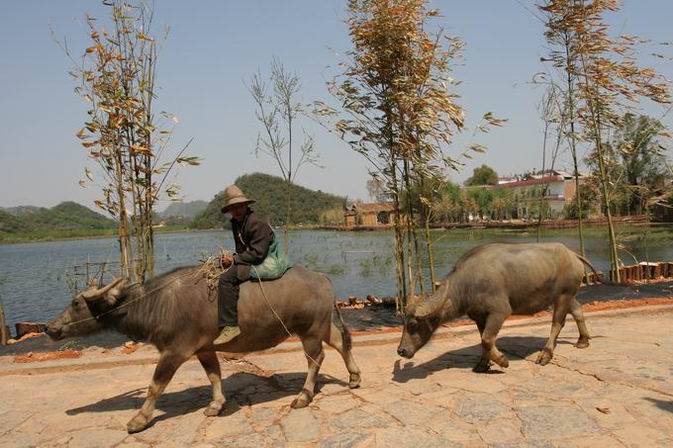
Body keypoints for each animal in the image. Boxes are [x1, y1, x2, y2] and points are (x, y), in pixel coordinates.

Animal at [46, 266, 362, 434]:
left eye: (76, 303)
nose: (50, 328)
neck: (157, 304)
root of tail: (322, 278)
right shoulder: (204, 349)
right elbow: (214, 375)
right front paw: (216, 404)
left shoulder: (175, 351)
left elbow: (155, 386)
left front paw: (139, 420)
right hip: (320, 326)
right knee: (340, 342)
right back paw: (354, 377)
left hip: (309, 331)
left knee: (316, 358)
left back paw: (303, 396)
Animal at [396, 243, 596, 372]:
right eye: (403, 324)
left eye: (413, 325)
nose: (401, 351)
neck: (468, 283)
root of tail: (572, 254)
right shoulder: (479, 316)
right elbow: (483, 340)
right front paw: (483, 364)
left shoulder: (499, 312)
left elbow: (486, 339)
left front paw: (502, 361)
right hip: (568, 296)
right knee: (577, 310)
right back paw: (583, 340)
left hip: (563, 296)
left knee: (557, 323)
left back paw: (545, 355)